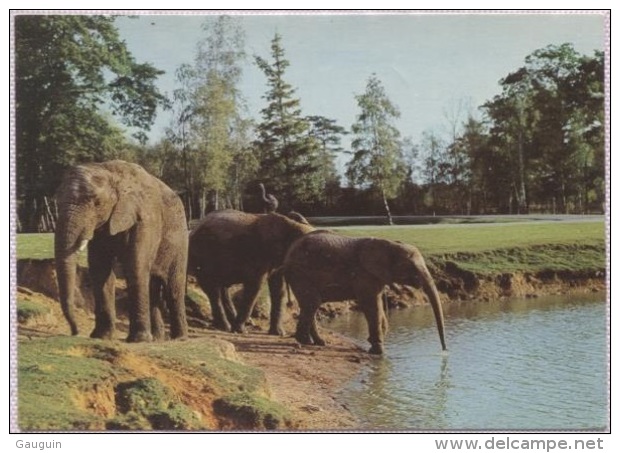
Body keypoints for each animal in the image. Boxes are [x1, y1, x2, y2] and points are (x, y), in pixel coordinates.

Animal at [53, 161, 189, 340]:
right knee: (153, 287)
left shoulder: (145, 219)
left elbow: (135, 267)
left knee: (173, 287)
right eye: (57, 202)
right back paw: (158, 339)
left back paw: (179, 338)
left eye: (96, 203)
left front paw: (139, 340)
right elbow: (100, 270)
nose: (75, 332)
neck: (110, 172)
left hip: (180, 240)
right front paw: (101, 336)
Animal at [280, 231, 446, 354]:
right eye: (411, 267)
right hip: (300, 273)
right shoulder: (364, 275)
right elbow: (371, 305)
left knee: (311, 304)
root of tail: (288, 252)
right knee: (312, 302)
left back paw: (319, 342)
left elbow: (377, 306)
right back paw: (305, 341)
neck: (389, 244)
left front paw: (374, 344)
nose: (445, 351)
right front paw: (379, 352)